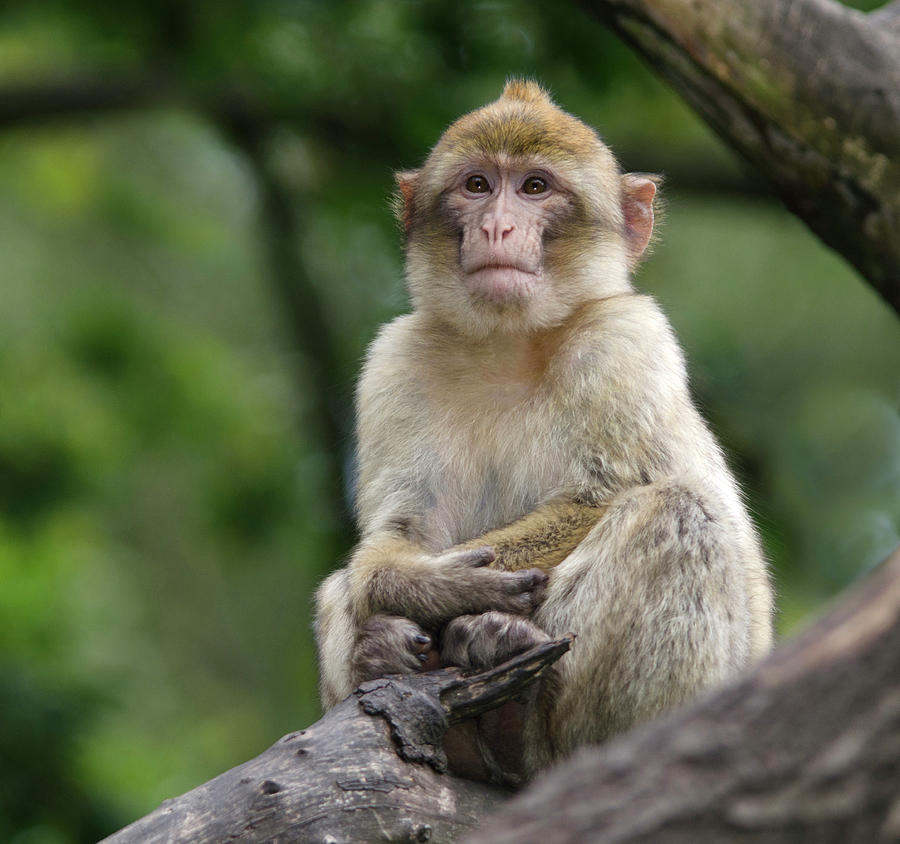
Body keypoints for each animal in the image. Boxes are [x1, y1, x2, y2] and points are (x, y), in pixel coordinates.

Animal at [314, 81, 772, 784]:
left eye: (535, 187)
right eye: (477, 184)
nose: (497, 226)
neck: (509, 344)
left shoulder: (624, 337)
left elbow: (605, 495)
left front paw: (457, 592)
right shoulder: (394, 359)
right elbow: (396, 536)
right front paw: (422, 587)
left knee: (678, 511)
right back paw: (396, 662)